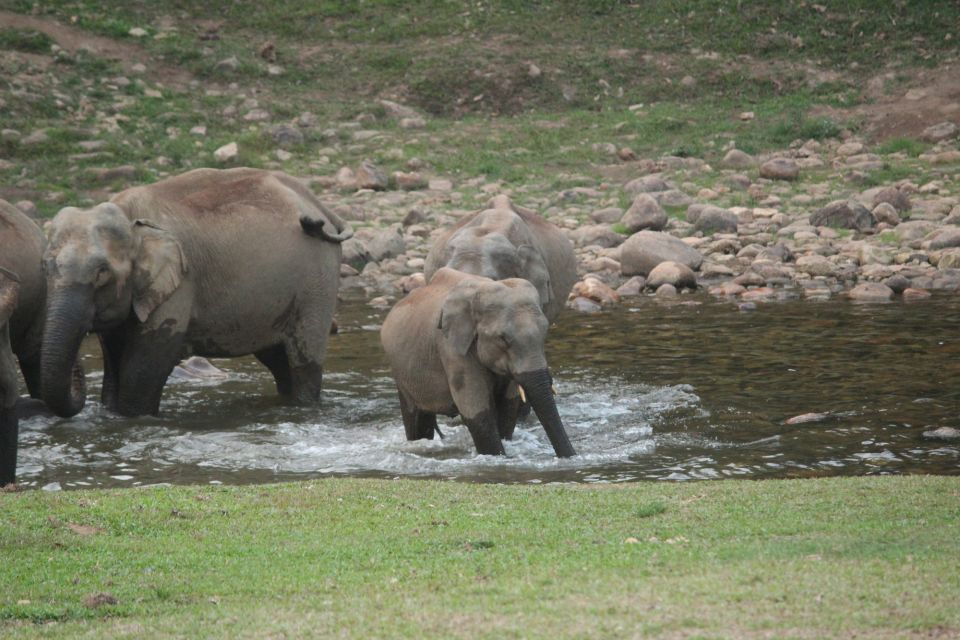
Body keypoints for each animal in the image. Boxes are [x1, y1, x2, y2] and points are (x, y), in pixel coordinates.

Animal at [41, 167, 353, 418]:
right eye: (46, 266)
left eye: (102, 272)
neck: (129, 216)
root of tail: (319, 206)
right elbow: (114, 360)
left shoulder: (179, 286)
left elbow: (145, 366)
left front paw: (133, 418)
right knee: (278, 360)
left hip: (317, 279)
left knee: (303, 361)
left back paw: (302, 406)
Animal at [380, 267, 576, 458]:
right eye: (503, 338)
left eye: (545, 332)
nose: (571, 457)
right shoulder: (451, 348)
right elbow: (477, 412)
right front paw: (498, 457)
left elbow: (508, 407)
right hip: (402, 374)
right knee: (416, 420)